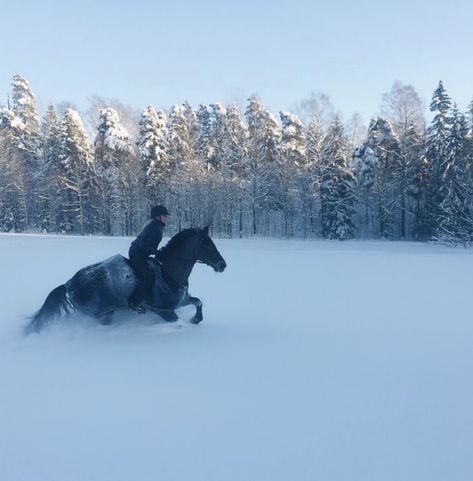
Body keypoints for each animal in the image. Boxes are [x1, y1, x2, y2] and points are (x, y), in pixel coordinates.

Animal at [24, 226, 226, 334]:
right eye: (208, 244)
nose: (223, 265)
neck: (168, 272)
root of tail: (68, 284)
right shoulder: (163, 311)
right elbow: (177, 321)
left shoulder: (180, 301)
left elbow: (198, 302)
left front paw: (196, 319)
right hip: (103, 315)